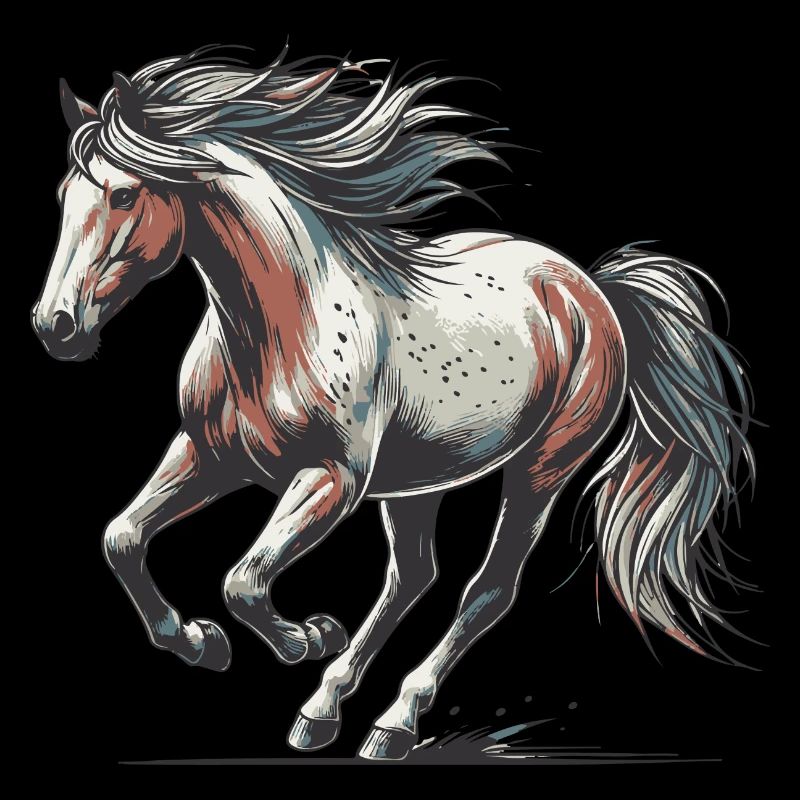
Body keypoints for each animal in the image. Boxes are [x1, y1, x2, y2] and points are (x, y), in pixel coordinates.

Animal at [32, 46, 753, 761]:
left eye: (125, 192)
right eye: (65, 194)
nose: (54, 326)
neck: (281, 329)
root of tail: (590, 287)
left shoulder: (332, 481)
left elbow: (244, 581)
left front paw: (307, 636)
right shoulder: (207, 454)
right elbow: (122, 539)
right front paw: (201, 644)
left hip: (543, 468)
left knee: (487, 590)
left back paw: (393, 723)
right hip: (419, 481)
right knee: (413, 576)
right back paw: (322, 712)